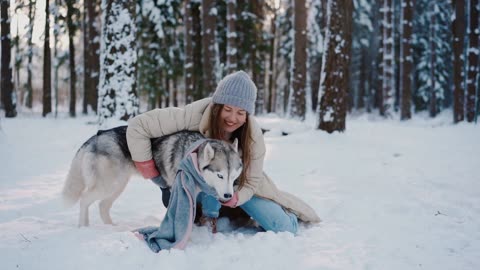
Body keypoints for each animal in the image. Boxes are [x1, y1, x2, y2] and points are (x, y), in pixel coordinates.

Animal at [62, 126, 244, 226]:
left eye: (233, 177)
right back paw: (83, 226)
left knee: (102, 206)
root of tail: (94, 138)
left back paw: (112, 227)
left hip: (117, 186)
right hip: (108, 185)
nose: (228, 196)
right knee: (84, 199)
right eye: (220, 175)